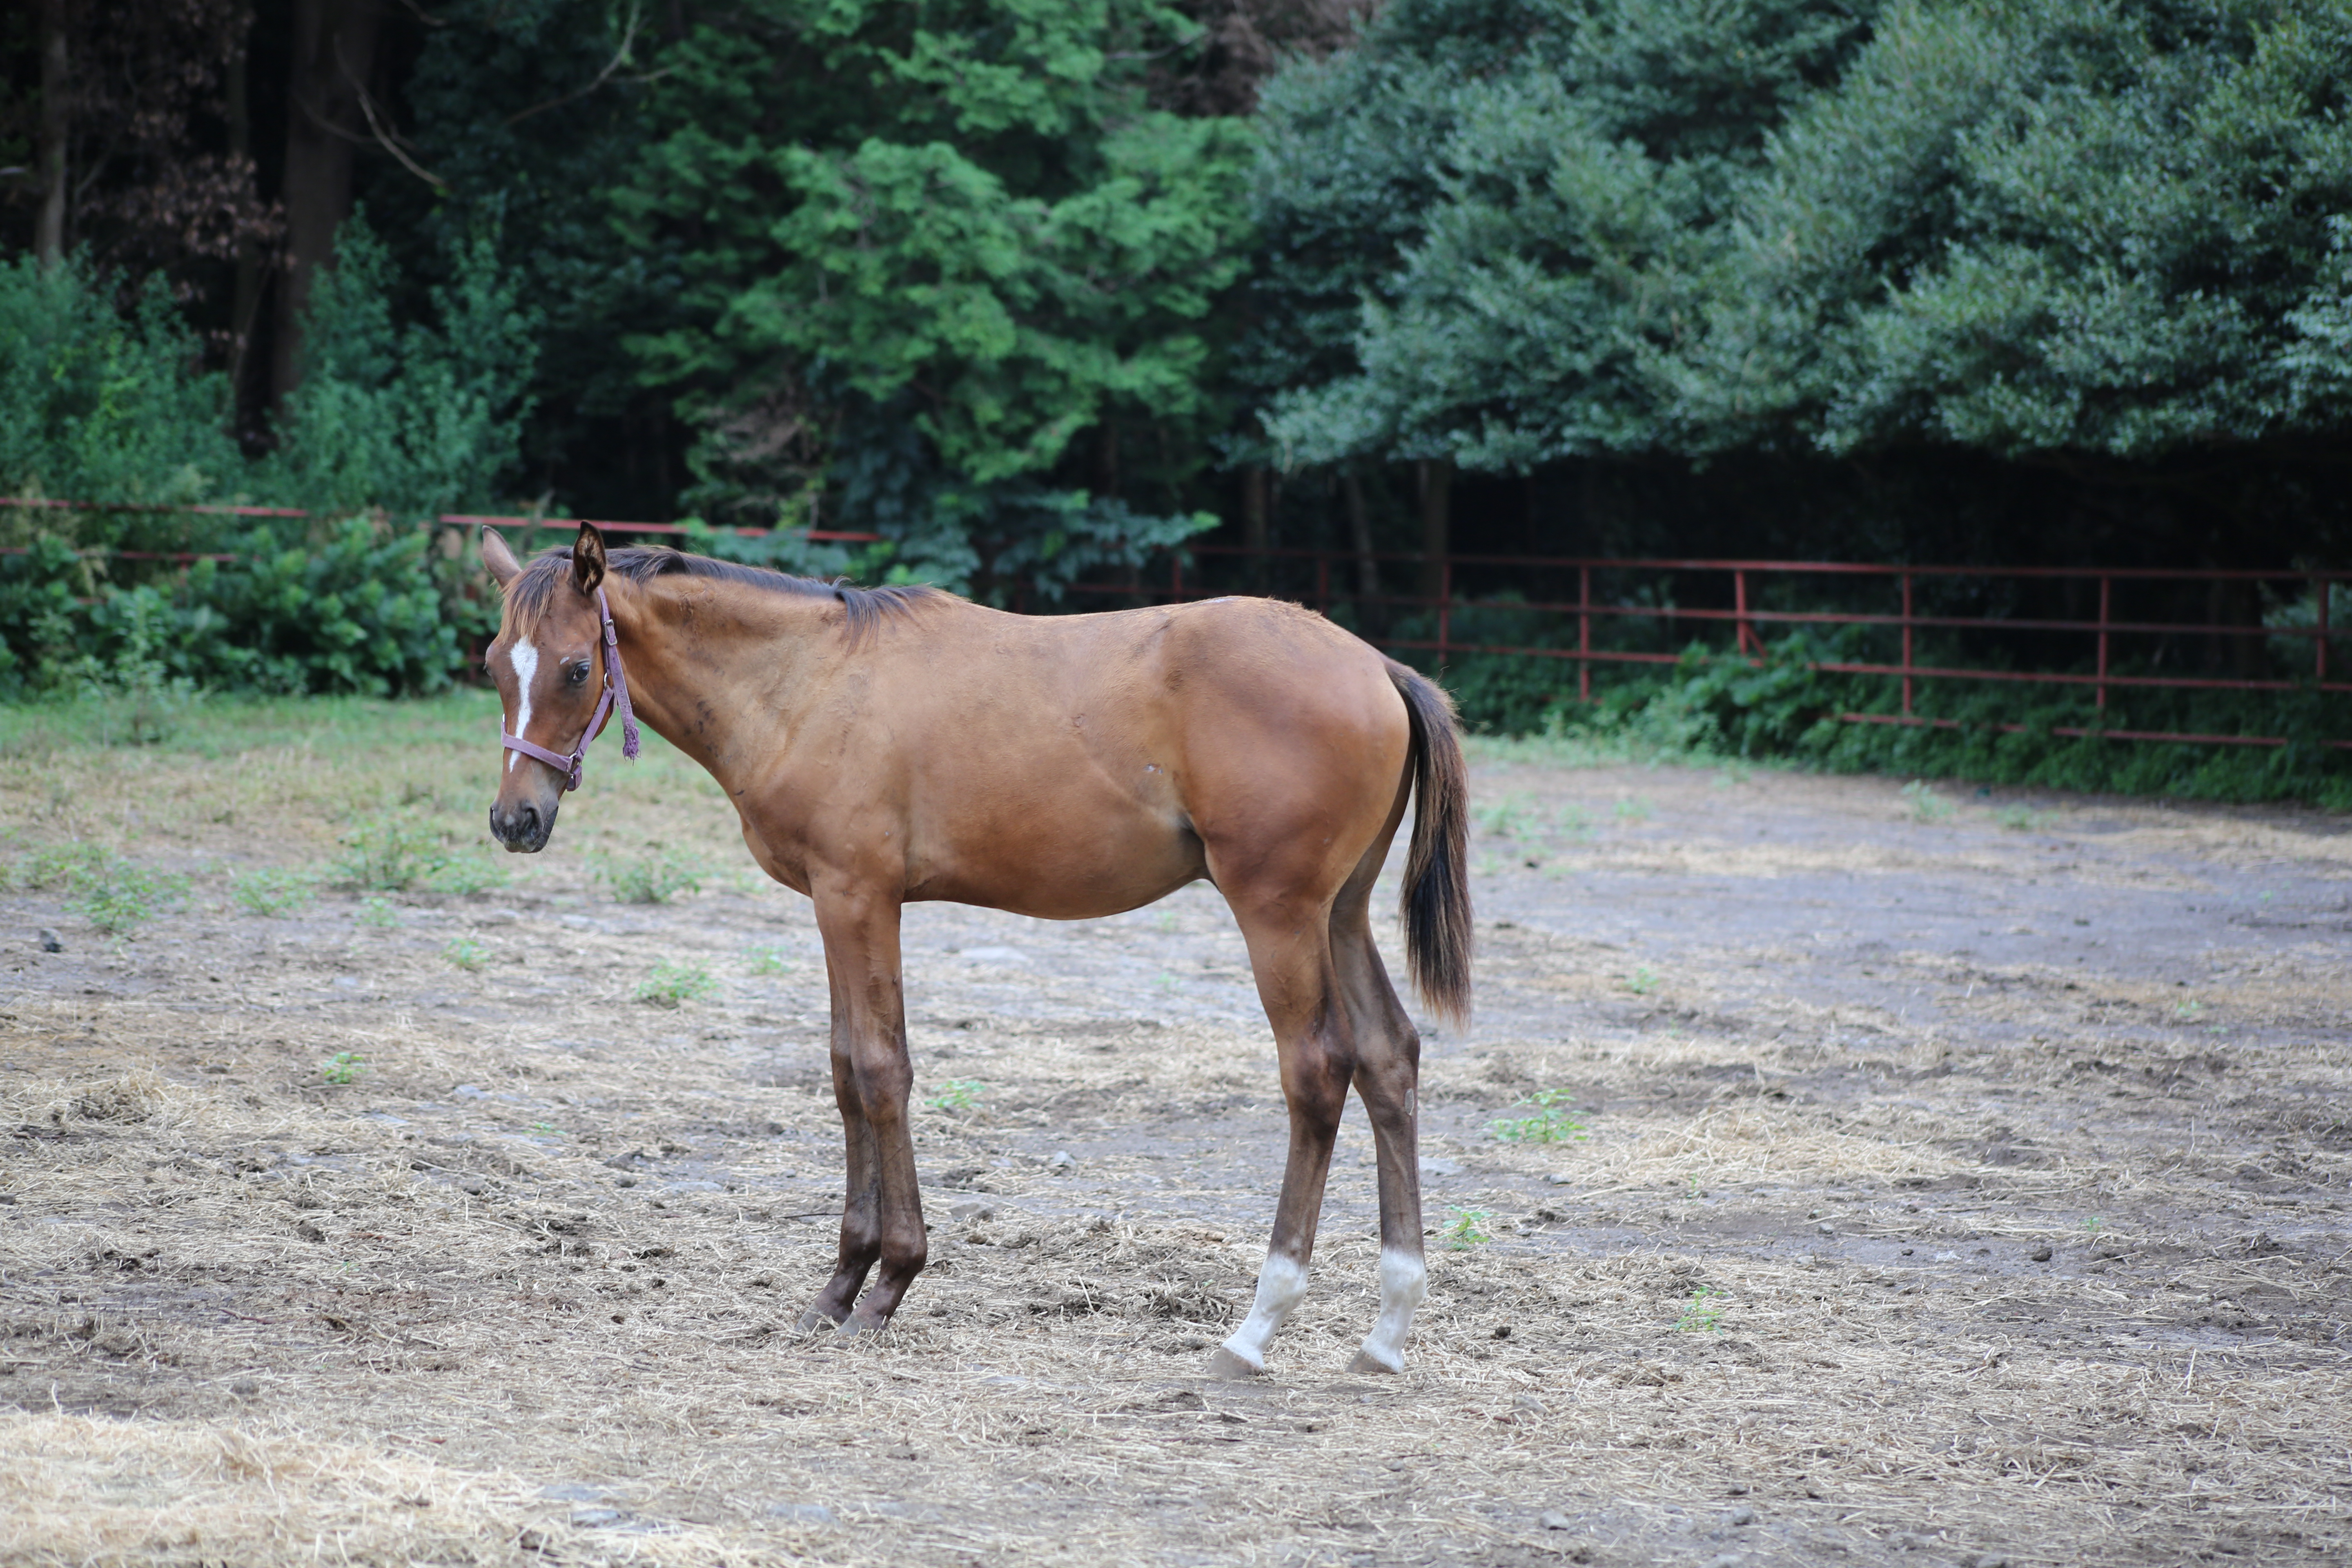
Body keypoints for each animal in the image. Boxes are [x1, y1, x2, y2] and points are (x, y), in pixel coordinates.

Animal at [480, 524, 1468, 1373]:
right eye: (494, 664)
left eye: (576, 667)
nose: (514, 820)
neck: (808, 681)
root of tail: (1378, 666)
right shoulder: (835, 905)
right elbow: (845, 1071)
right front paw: (839, 1286)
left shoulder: (860, 899)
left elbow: (883, 1072)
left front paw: (889, 1285)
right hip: (1340, 914)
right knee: (1388, 1059)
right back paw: (1387, 1332)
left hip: (1279, 915)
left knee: (1318, 1070)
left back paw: (1256, 1329)